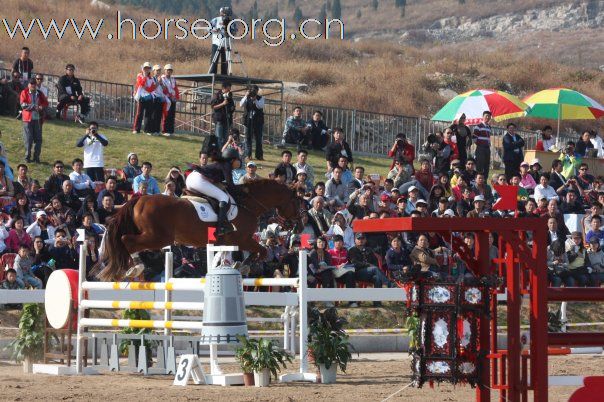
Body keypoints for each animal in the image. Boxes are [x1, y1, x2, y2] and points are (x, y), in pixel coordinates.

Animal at [101, 179, 304, 280]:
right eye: (297, 202)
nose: (300, 226)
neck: (248, 204)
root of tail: (140, 199)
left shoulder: (229, 242)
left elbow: (226, 256)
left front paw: (234, 266)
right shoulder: (243, 239)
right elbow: (261, 250)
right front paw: (245, 266)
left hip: (152, 235)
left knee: (126, 240)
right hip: (158, 237)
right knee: (127, 241)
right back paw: (134, 267)